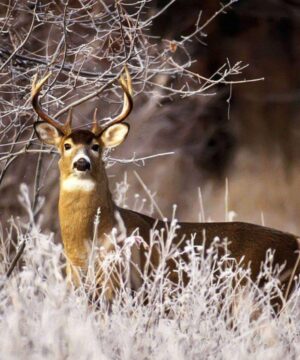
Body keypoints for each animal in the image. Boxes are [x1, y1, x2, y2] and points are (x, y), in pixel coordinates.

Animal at [31, 68, 300, 306]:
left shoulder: (120, 283)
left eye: (96, 146)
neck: (86, 244)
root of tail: (294, 241)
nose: (82, 163)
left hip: (264, 293)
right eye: (66, 145)